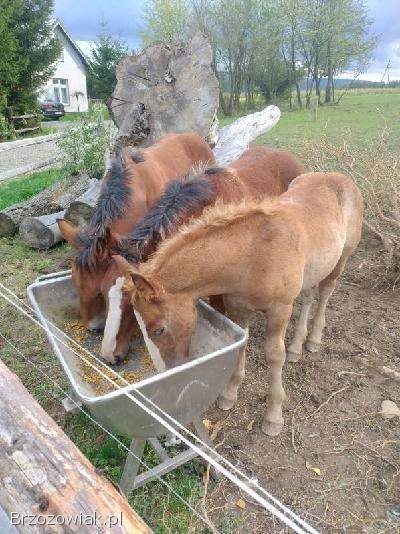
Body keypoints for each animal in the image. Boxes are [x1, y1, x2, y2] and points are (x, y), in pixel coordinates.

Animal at [112, 174, 362, 438]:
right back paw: (296, 347)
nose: (171, 370)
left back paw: (313, 340)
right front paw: (229, 395)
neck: (252, 255)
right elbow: (241, 346)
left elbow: (275, 356)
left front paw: (273, 416)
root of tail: (338, 177)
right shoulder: (238, 309)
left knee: (324, 294)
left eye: (158, 330)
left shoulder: (280, 309)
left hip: (341, 259)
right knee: (309, 296)